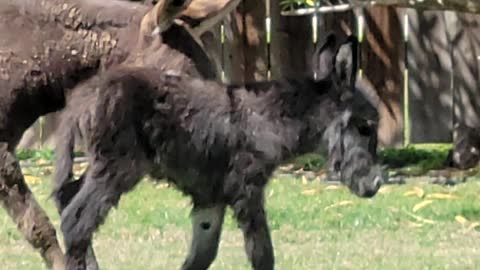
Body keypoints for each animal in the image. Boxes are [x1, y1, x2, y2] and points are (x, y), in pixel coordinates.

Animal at [52, 36, 382, 270]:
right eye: (365, 127)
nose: (375, 185)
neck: (271, 121)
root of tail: (86, 94)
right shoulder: (246, 189)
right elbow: (262, 254)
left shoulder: (210, 199)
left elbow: (201, 257)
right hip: (118, 168)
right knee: (75, 222)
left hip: (101, 166)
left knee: (67, 200)